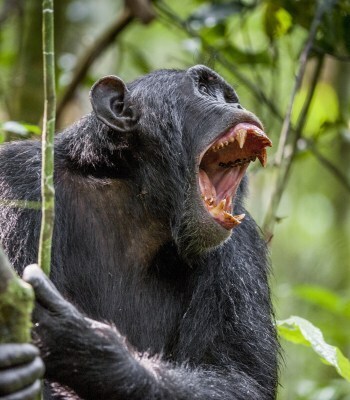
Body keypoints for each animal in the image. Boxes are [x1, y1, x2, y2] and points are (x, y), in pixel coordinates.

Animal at [0, 66, 278, 400]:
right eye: (204, 88)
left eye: (228, 96)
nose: (236, 104)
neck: (138, 196)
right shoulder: (16, 184)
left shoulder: (242, 245)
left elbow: (240, 377)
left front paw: (88, 345)